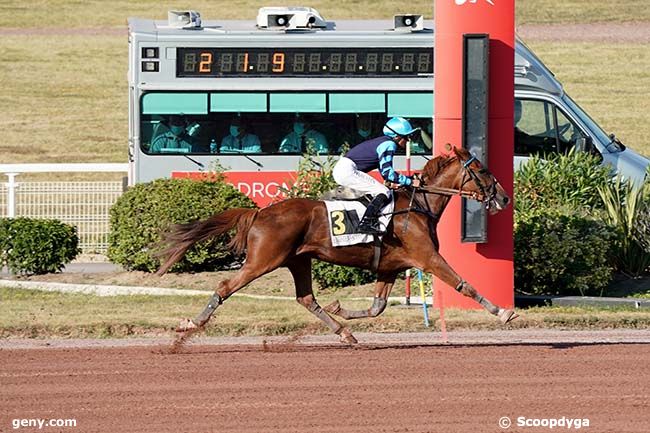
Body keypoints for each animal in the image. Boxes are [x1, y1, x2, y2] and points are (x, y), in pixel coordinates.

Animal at [156, 147, 516, 342]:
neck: (419, 206)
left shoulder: (390, 267)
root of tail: (260, 212)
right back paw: (191, 323)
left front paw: (340, 308)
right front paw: (503, 313)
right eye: (483, 170)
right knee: (226, 286)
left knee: (306, 298)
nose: (503, 197)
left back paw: (344, 331)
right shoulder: (426, 257)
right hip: (263, 260)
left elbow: (377, 307)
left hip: (297, 260)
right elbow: (464, 284)